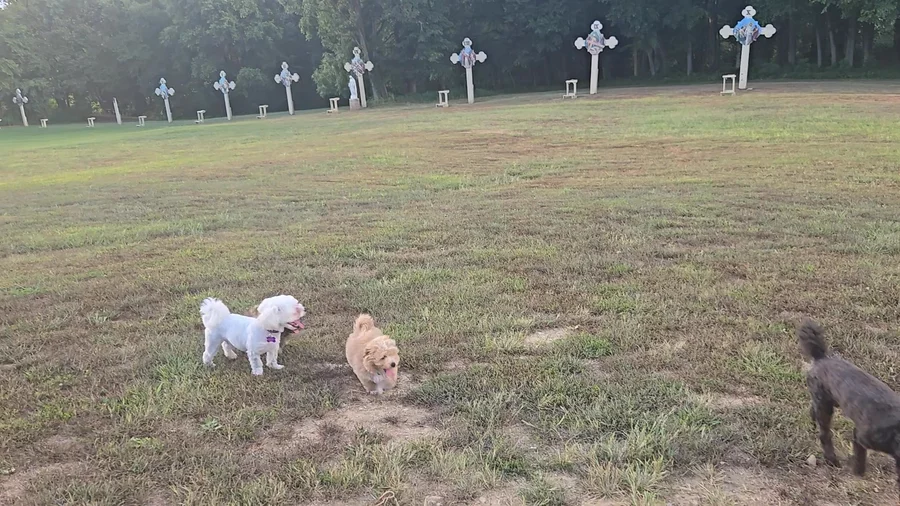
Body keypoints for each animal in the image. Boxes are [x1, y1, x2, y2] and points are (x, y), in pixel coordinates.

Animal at [800, 318, 900, 497]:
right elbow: (860, 457)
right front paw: (858, 473)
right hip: (826, 407)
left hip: (827, 401)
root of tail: (822, 357)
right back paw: (832, 460)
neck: (895, 430)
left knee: (813, 410)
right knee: (825, 435)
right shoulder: (860, 436)